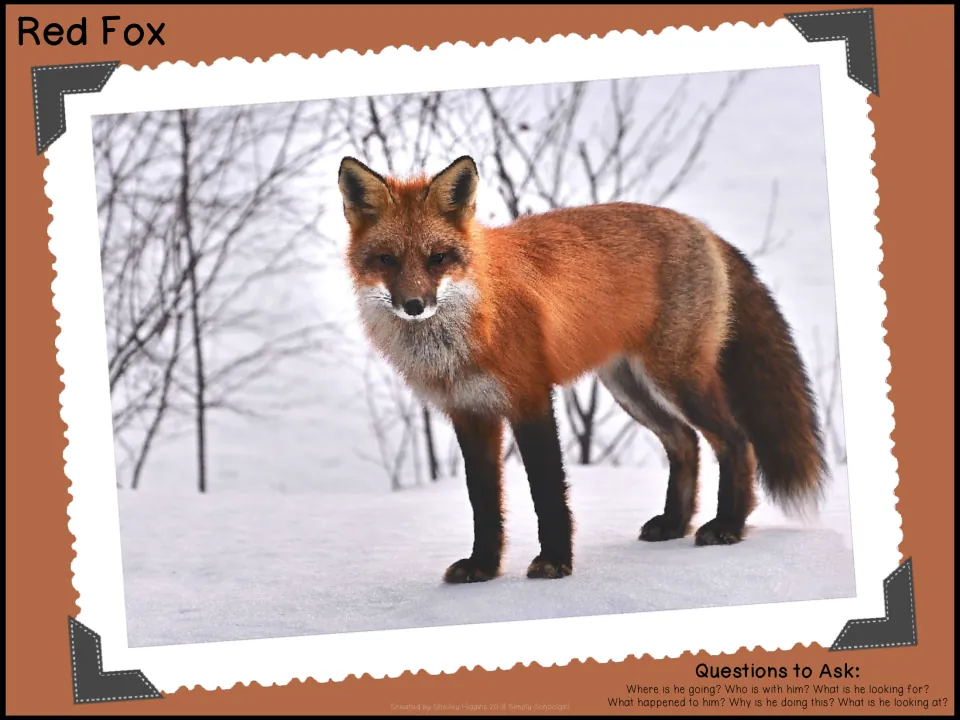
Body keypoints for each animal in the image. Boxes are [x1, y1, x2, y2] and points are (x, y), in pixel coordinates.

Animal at [337, 154, 827, 584]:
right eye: (387, 260)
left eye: (437, 257)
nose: (414, 305)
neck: (469, 325)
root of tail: (700, 226)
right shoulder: (470, 413)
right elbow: (484, 503)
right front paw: (483, 567)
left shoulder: (531, 398)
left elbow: (548, 492)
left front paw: (554, 562)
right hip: (630, 388)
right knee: (685, 442)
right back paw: (674, 523)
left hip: (677, 379)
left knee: (736, 440)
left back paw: (727, 526)